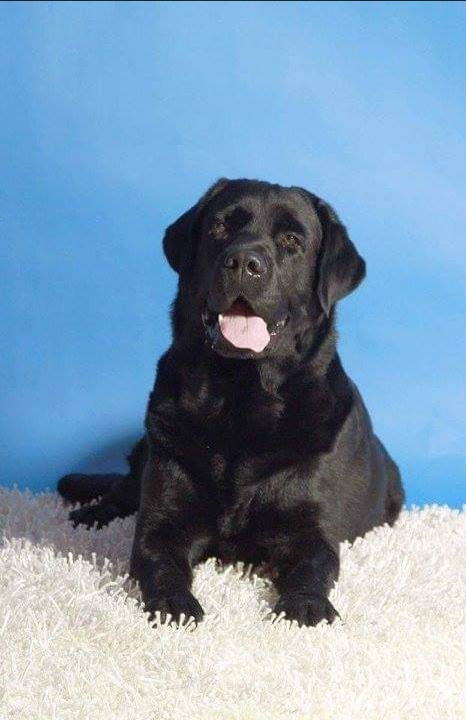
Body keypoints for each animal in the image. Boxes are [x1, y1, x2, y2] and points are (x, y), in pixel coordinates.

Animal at [58, 178, 404, 627]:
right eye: (220, 227)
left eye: (292, 240)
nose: (243, 262)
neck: (240, 399)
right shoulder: (162, 520)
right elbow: (159, 561)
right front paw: (174, 603)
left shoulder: (310, 531)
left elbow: (314, 566)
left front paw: (306, 605)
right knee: (122, 488)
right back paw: (92, 514)